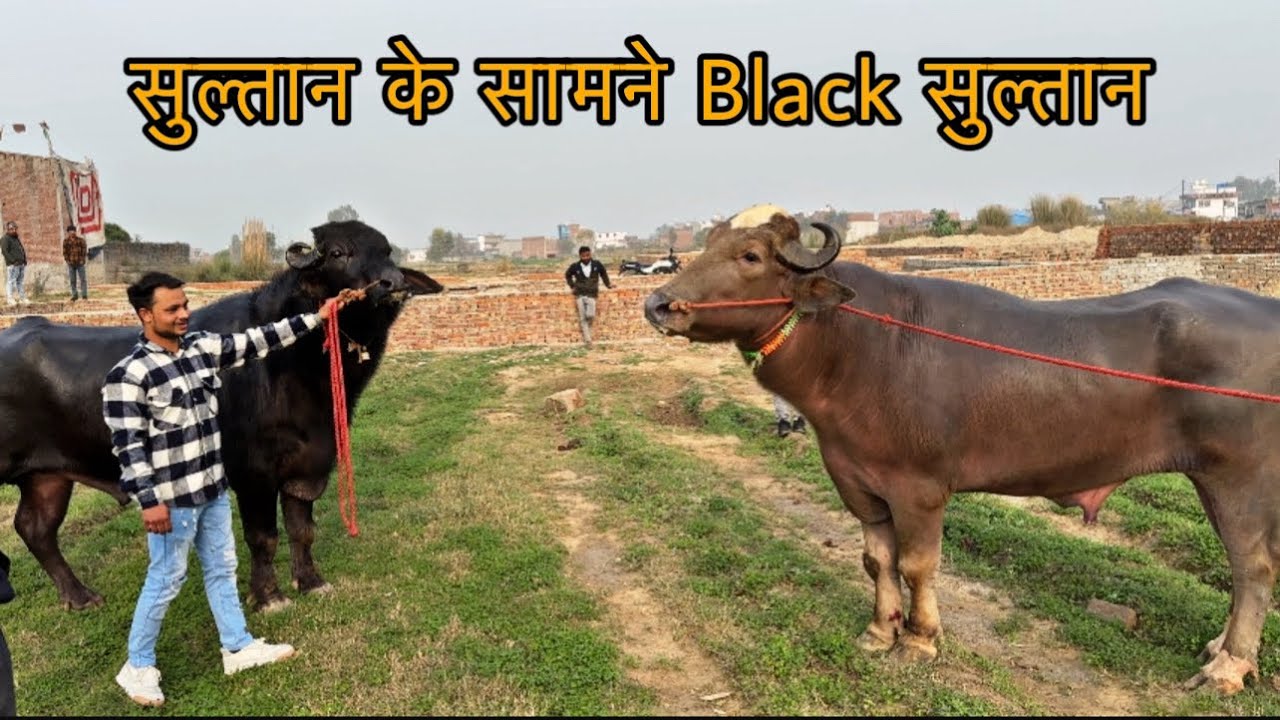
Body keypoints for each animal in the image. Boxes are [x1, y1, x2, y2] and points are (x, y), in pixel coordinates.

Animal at [0, 219, 443, 613]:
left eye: (386, 252)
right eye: (338, 253)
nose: (392, 284)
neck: (297, 369)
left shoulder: (307, 466)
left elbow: (303, 530)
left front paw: (311, 582)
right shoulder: (255, 474)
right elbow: (264, 537)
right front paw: (269, 597)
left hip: (47, 478)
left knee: (35, 528)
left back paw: (79, 597)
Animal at [643, 203, 1280, 695]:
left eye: (750, 256)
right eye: (708, 244)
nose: (658, 304)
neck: (857, 345)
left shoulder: (919, 489)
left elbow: (918, 564)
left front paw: (919, 640)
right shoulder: (857, 481)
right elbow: (877, 559)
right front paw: (880, 631)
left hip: (1238, 479)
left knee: (1252, 566)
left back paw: (1228, 667)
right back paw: (1219, 646)